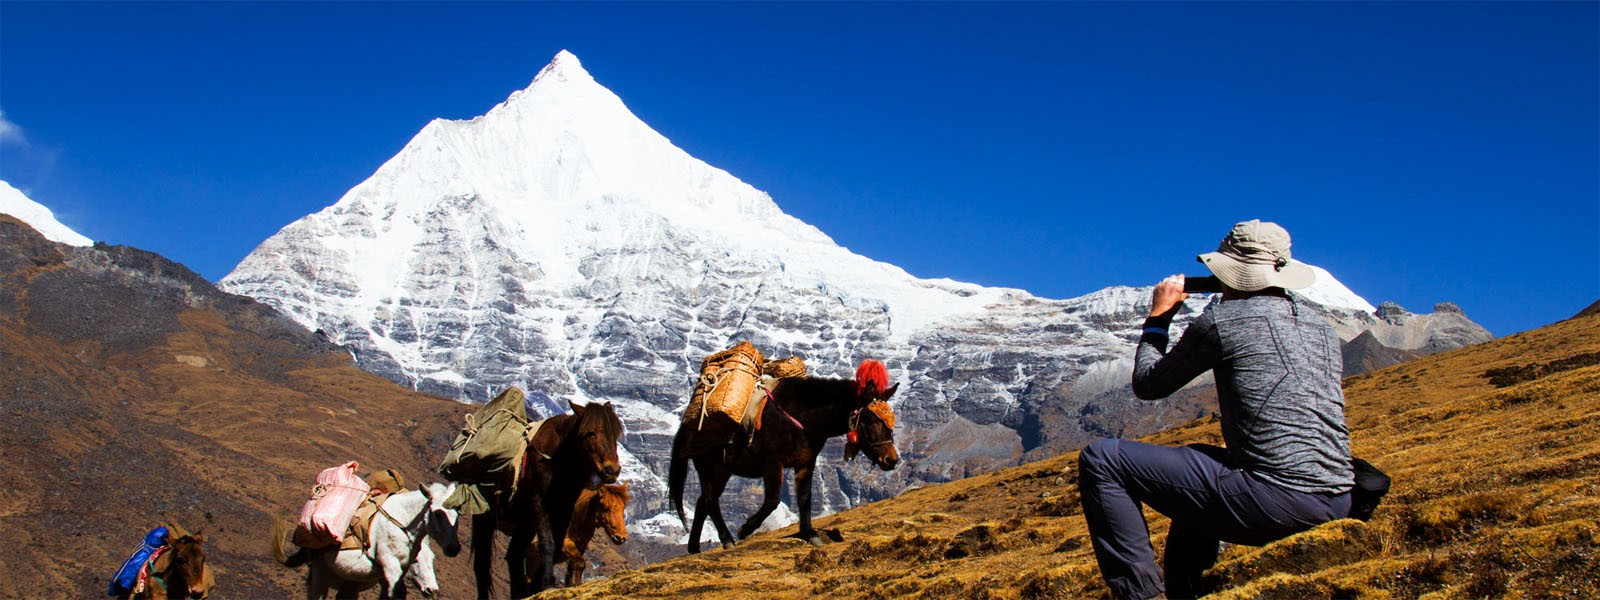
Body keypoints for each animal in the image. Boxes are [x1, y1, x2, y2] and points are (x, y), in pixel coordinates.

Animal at [275, 483, 460, 600]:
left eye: (457, 514)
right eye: (437, 513)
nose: (453, 548)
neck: (402, 522)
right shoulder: (390, 564)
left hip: (351, 580)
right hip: (320, 573)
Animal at [467, 400, 624, 600]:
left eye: (615, 434)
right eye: (590, 433)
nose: (612, 471)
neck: (558, 462)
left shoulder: (565, 509)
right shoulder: (540, 505)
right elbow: (548, 543)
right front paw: (548, 584)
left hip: (524, 523)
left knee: (514, 555)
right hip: (484, 518)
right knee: (482, 564)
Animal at [668, 361, 902, 553]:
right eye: (871, 419)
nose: (891, 460)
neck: (802, 417)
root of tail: (686, 425)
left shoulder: (806, 462)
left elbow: (805, 497)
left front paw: (810, 534)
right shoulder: (773, 462)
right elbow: (773, 499)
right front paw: (745, 529)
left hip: (724, 470)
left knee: (703, 502)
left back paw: (695, 548)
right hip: (707, 465)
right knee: (709, 500)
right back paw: (727, 540)